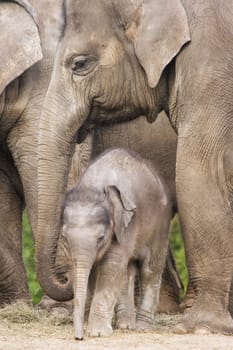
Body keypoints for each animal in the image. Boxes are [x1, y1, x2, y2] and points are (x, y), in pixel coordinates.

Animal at [62, 148, 171, 340]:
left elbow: (110, 266)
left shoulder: (127, 224)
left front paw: (97, 333)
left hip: (160, 223)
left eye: (101, 238)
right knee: (127, 272)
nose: (78, 337)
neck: (95, 185)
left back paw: (142, 328)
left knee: (150, 269)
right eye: (65, 238)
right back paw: (126, 325)